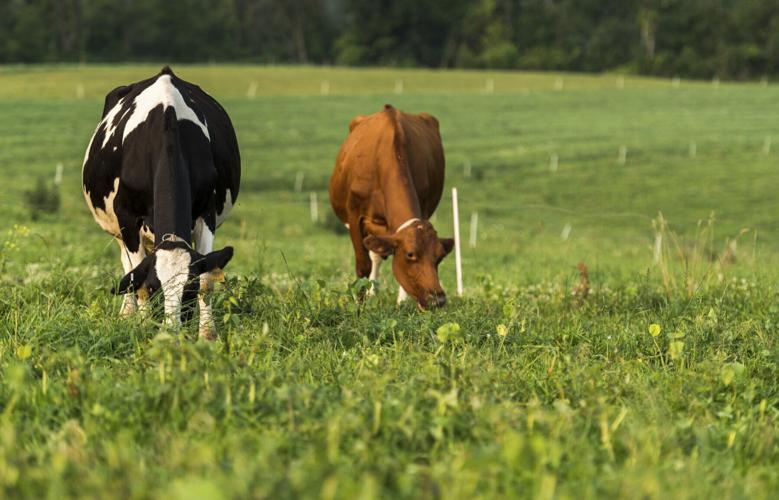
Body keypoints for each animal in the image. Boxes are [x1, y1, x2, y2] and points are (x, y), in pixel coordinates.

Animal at [82, 66, 240, 340]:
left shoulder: (207, 212)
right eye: (155, 288)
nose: (172, 330)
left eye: (189, 290)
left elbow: (208, 279)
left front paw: (207, 335)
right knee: (127, 267)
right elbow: (135, 280)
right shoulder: (126, 216)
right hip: (118, 230)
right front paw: (143, 327)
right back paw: (127, 314)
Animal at [329, 104, 453, 309]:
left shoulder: (424, 206)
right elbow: (363, 265)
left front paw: (402, 303)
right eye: (410, 254)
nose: (437, 300)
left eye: (440, 256)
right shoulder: (354, 216)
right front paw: (360, 304)